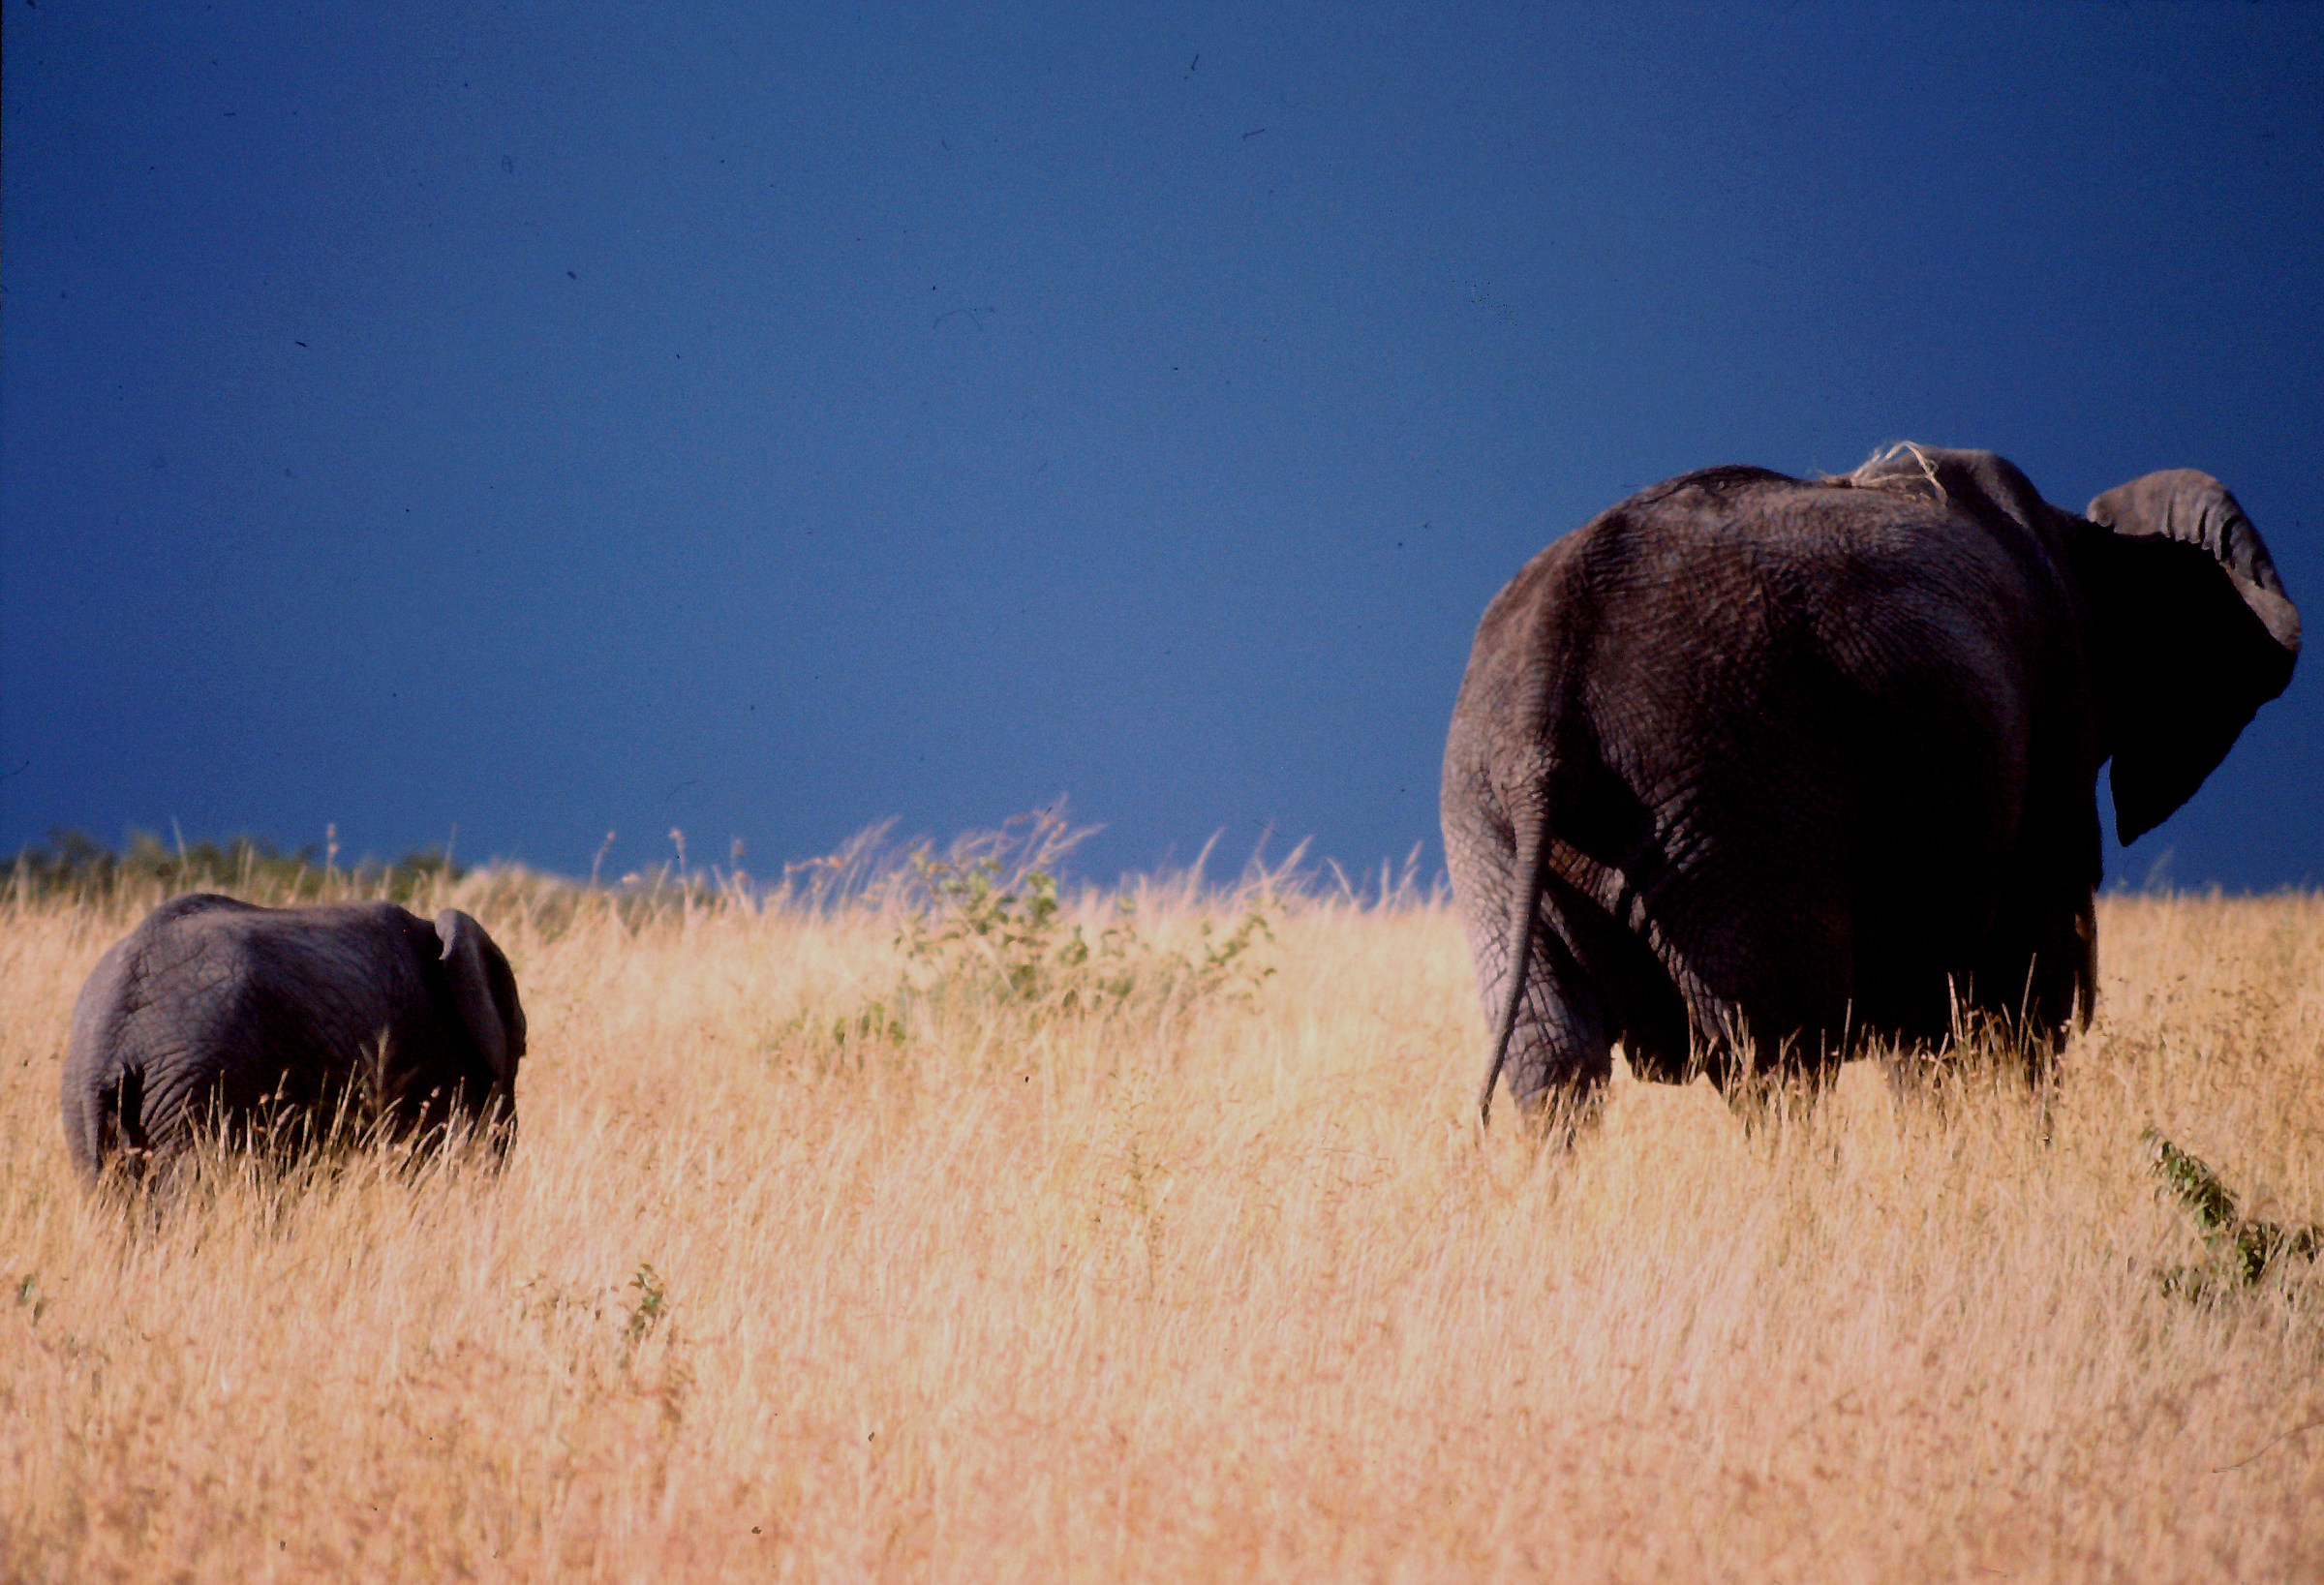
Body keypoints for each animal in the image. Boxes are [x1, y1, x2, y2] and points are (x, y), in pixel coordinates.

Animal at [1442, 445, 2299, 1121]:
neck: (2087, 539)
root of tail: (1549, 679)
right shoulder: (2056, 722)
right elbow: (2022, 985)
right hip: (1735, 800)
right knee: (1774, 1057)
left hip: (1491, 821)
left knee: (1554, 1061)